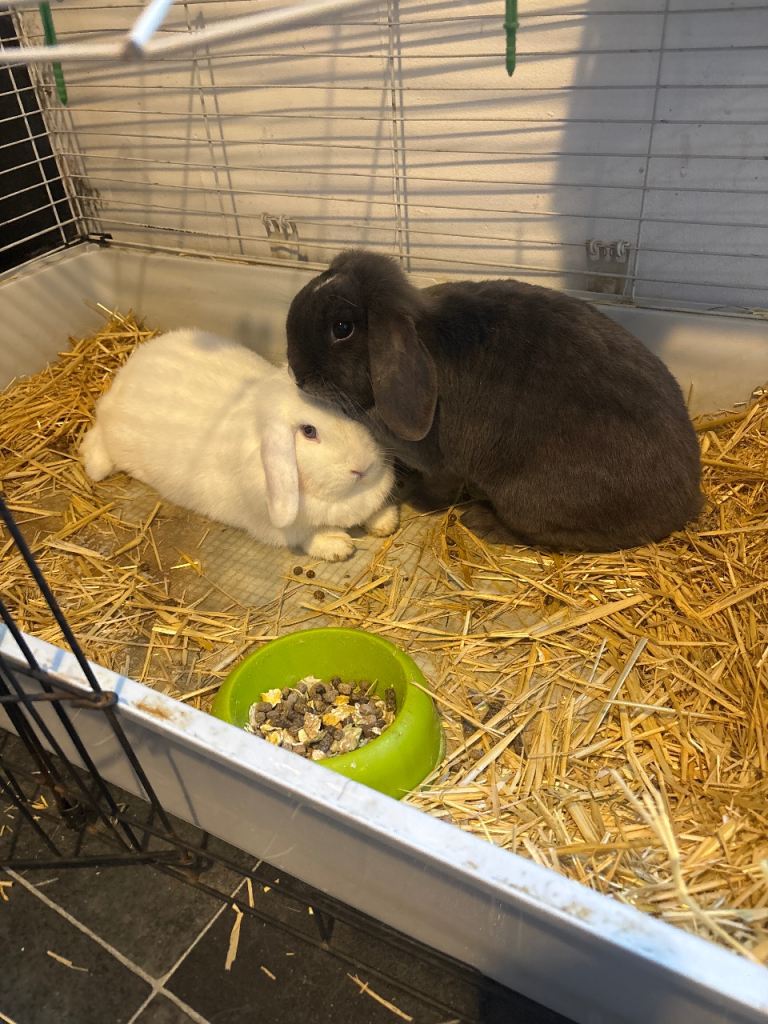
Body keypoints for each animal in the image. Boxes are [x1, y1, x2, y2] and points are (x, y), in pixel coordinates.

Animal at [80, 328, 399, 562]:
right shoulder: (275, 525)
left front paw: (386, 520)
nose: (362, 467)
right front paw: (337, 545)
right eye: (309, 431)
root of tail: (124, 375)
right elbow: (307, 535)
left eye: (349, 411)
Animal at [285, 249, 703, 552]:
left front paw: (416, 497)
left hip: (526, 499)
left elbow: (439, 488)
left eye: (342, 328)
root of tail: (685, 502)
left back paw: (481, 522)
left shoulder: (442, 466)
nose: (297, 373)